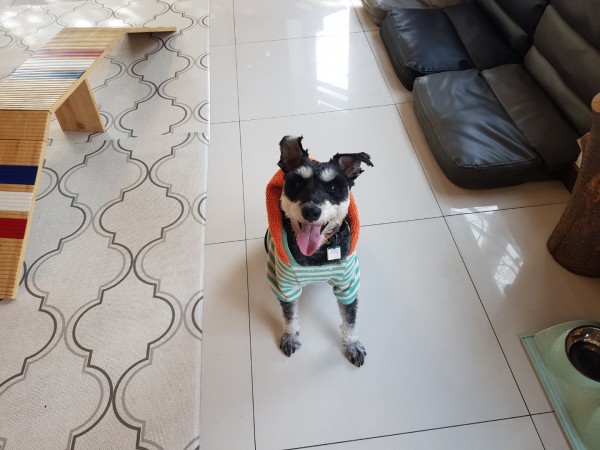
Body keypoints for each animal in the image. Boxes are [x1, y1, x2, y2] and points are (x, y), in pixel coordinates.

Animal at [265, 135, 373, 367]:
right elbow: (290, 314)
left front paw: (353, 344)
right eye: (297, 183)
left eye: (333, 187)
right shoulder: (285, 285)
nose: (311, 211)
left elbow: (349, 319)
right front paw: (290, 336)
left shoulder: (348, 285)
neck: (316, 255)